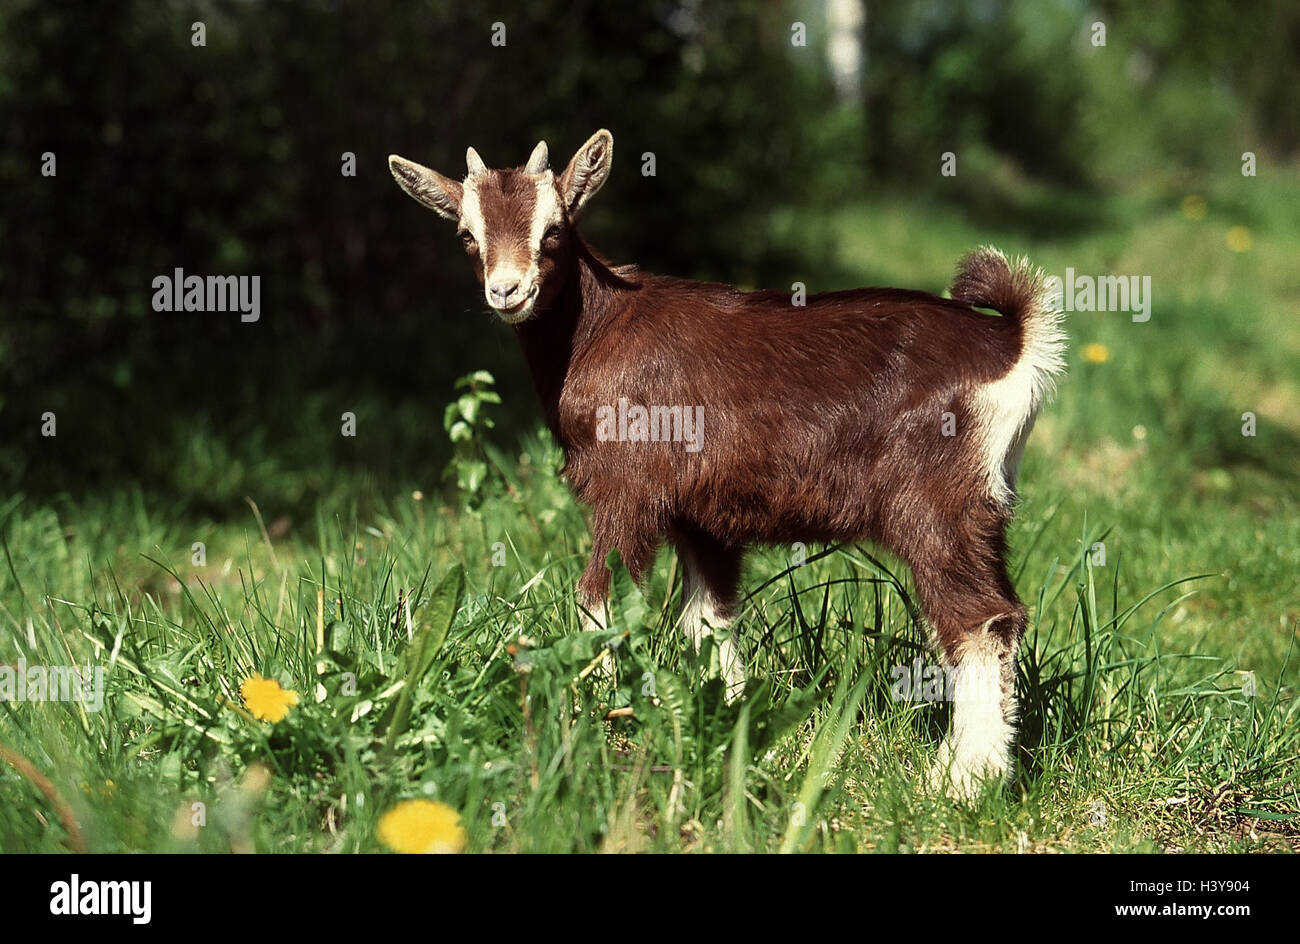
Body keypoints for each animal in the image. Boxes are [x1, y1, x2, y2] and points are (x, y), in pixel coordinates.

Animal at [387, 131, 1066, 800]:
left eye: (554, 229)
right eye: (467, 234)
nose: (507, 291)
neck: (596, 328)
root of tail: (1011, 345)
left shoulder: (627, 491)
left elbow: (599, 600)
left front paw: (590, 718)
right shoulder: (700, 516)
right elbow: (709, 619)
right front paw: (731, 724)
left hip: (931, 505)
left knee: (979, 622)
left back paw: (961, 782)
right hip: (983, 511)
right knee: (1005, 614)